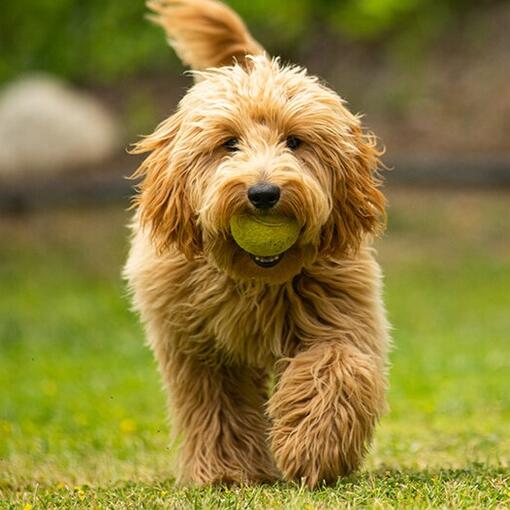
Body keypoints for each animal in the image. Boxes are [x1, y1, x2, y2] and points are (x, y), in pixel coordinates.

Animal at [124, 0, 390, 488]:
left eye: (295, 141)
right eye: (229, 143)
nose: (264, 193)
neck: (252, 278)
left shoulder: (340, 313)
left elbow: (338, 366)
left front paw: (312, 446)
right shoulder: (197, 348)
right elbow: (216, 405)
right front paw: (228, 472)